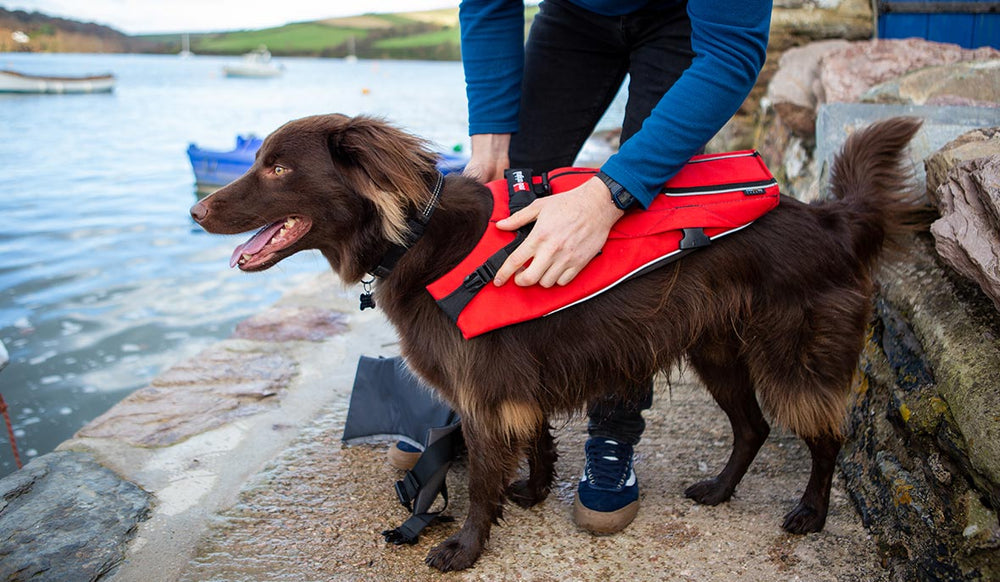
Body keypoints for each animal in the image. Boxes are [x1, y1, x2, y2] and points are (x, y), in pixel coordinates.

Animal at [193, 116, 928, 572]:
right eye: (259, 162)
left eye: (279, 168)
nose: (196, 211)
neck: (418, 236)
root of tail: (831, 220)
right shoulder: (517, 386)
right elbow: (537, 441)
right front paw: (535, 492)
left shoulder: (484, 394)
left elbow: (481, 480)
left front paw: (465, 548)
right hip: (716, 351)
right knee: (751, 427)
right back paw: (720, 491)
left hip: (795, 359)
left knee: (825, 438)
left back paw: (810, 513)